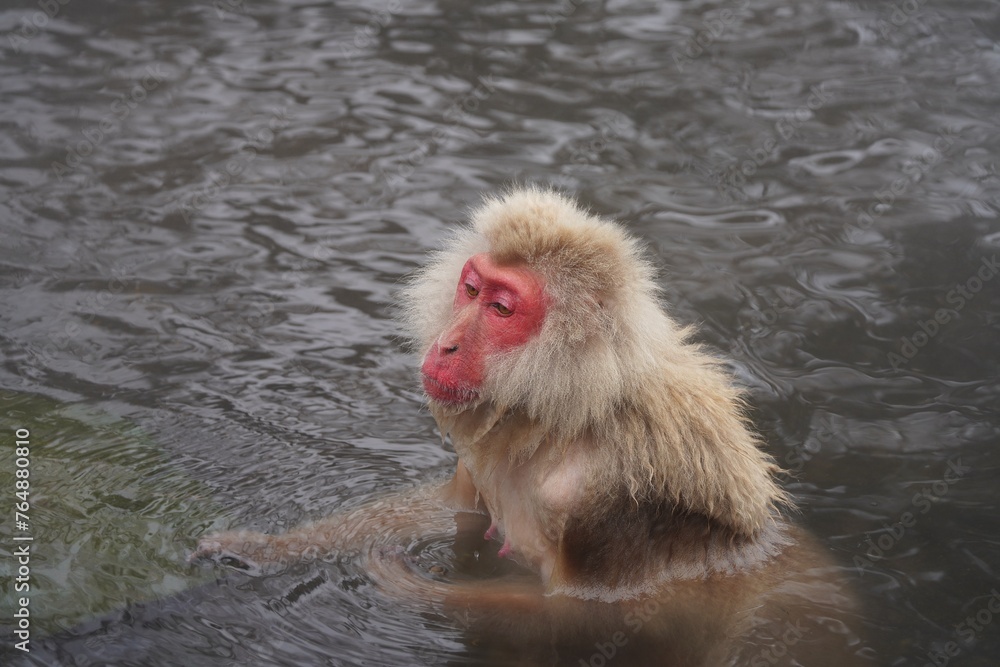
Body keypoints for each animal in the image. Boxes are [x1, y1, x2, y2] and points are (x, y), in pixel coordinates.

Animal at [192, 187, 864, 665]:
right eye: (470, 288)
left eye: (500, 308)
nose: (447, 345)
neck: (572, 416)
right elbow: (455, 510)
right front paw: (264, 549)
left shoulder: (616, 496)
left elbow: (591, 618)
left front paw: (408, 588)